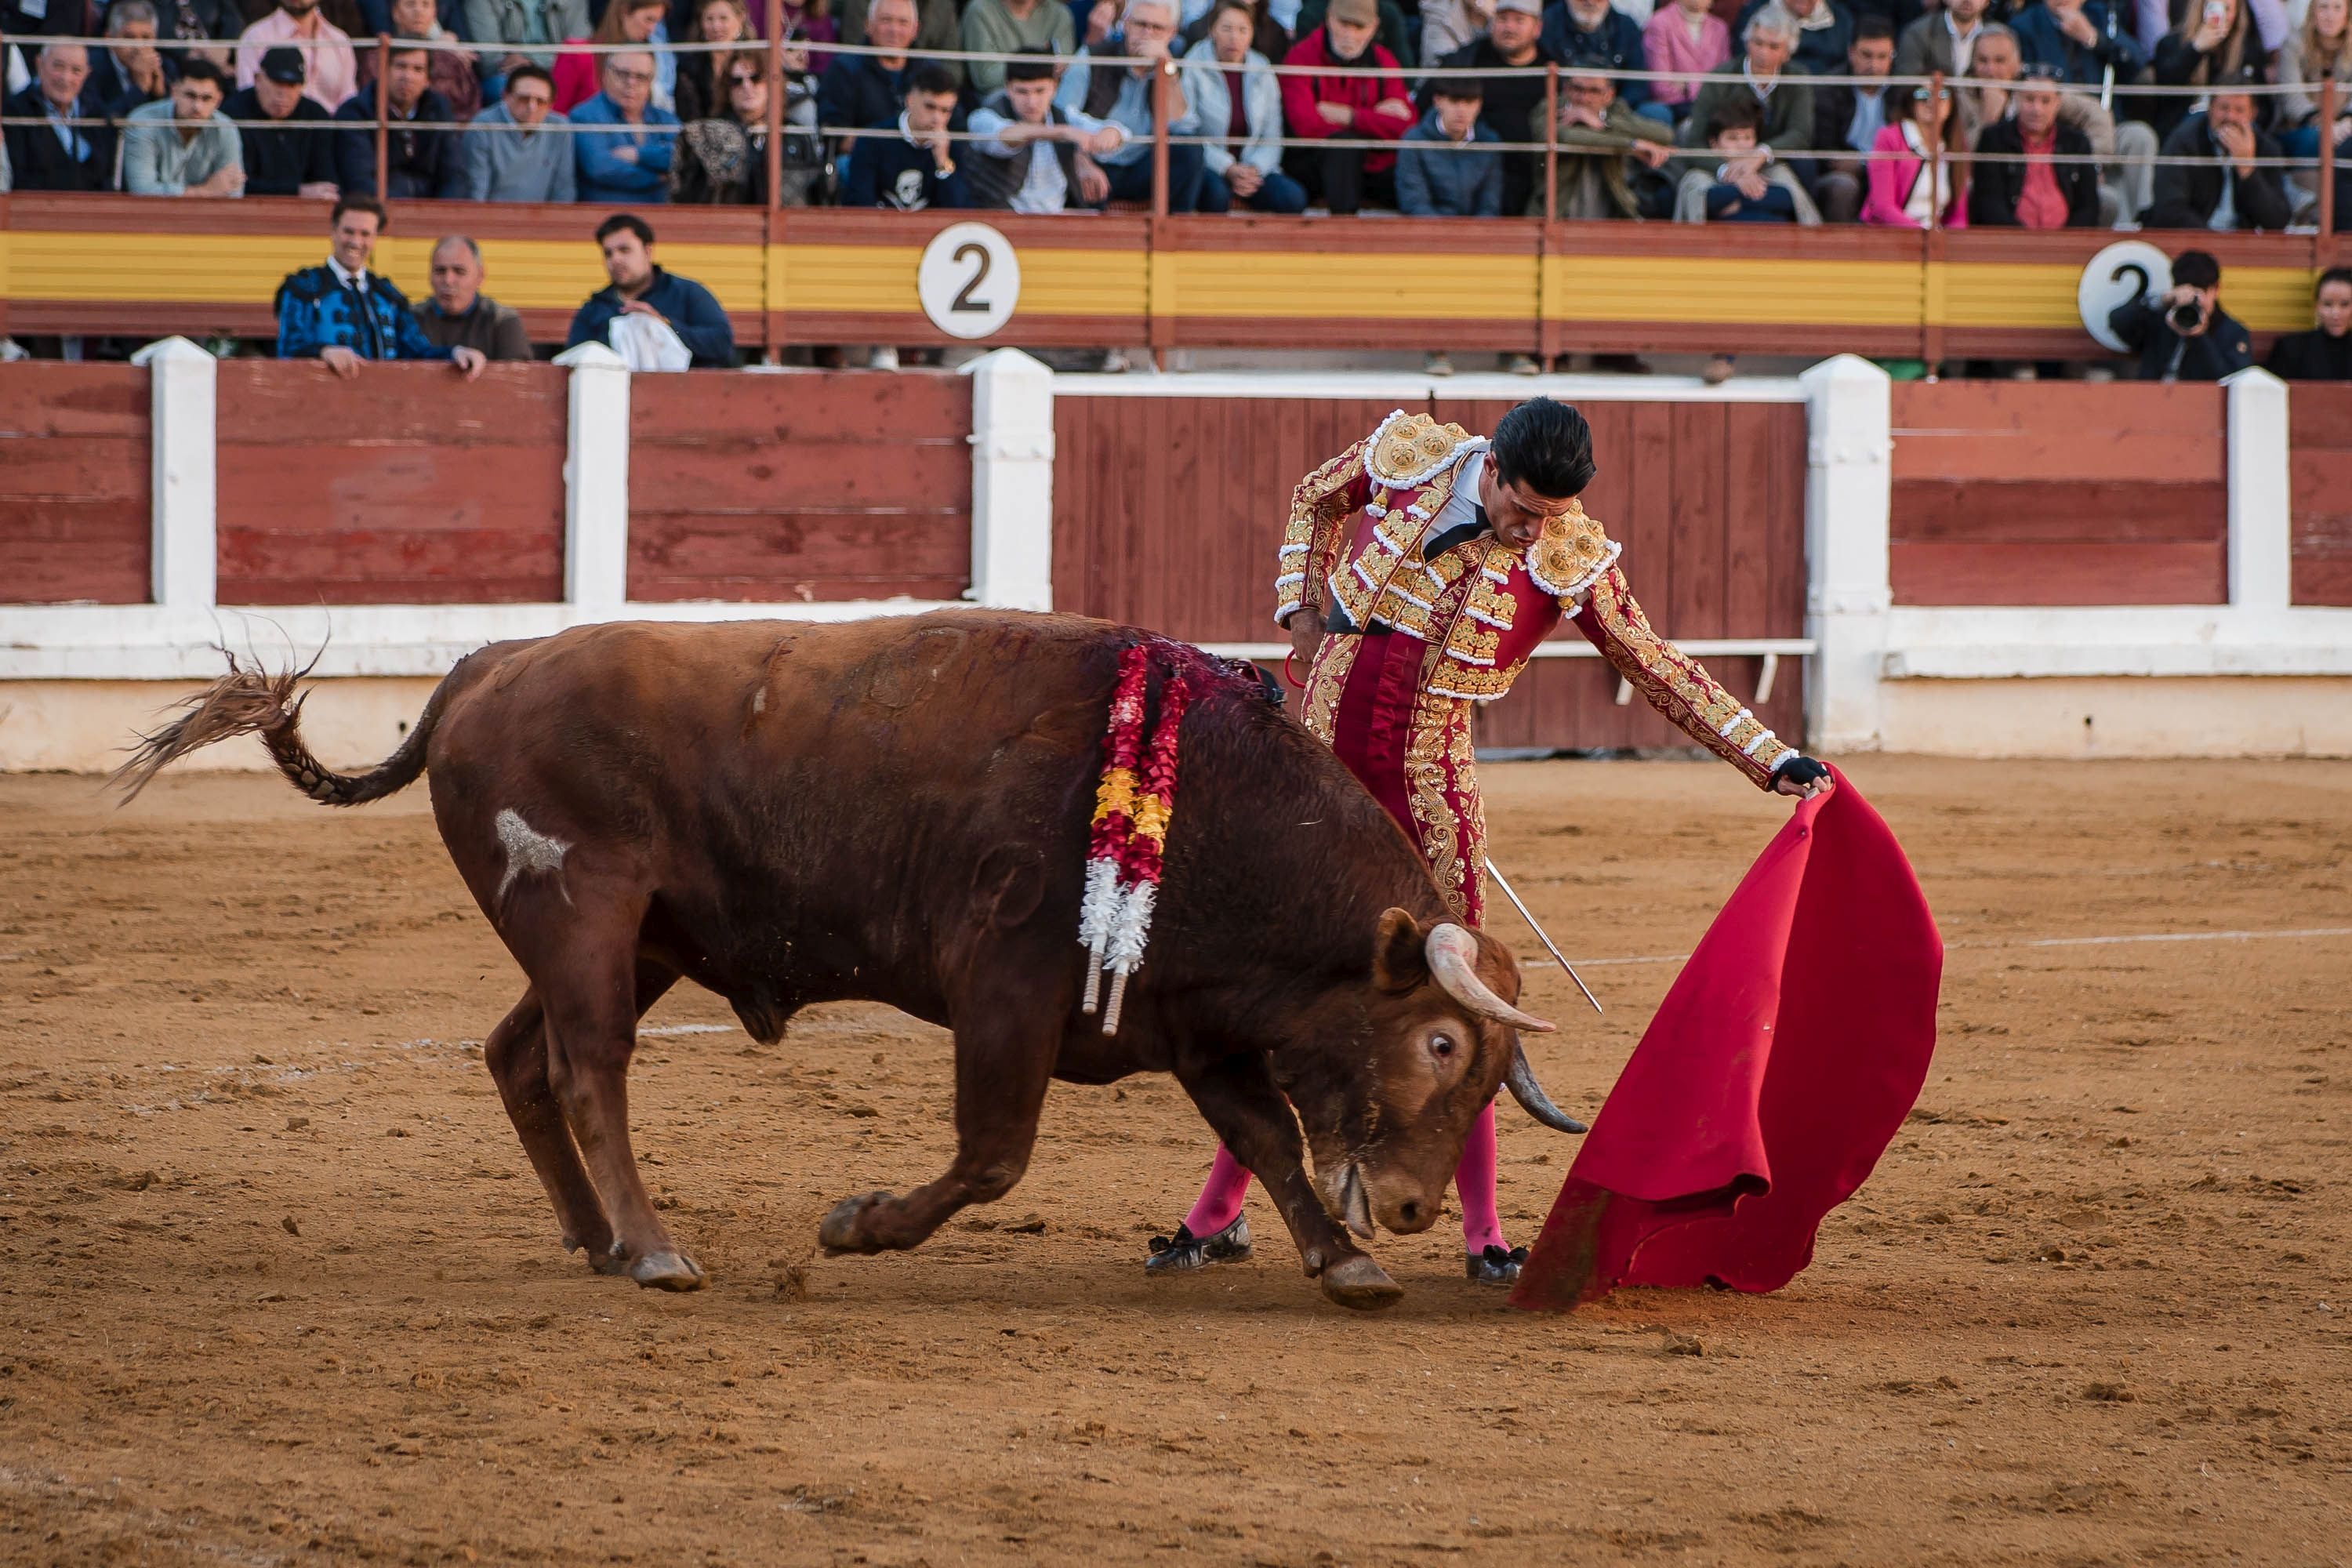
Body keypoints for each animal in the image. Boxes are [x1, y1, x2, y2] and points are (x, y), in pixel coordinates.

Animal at [114, 611, 1581, 1316]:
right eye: (1441, 1041)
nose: (1412, 1207)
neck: (1206, 799)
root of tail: (488, 665)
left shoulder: (1192, 1022)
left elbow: (1268, 1139)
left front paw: (1346, 1263)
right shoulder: (1008, 992)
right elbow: (994, 1155)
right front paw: (854, 1225)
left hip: (642, 939)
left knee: (518, 1056)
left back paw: (597, 1237)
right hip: (586, 912)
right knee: (589, 1069)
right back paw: (653, 1250)